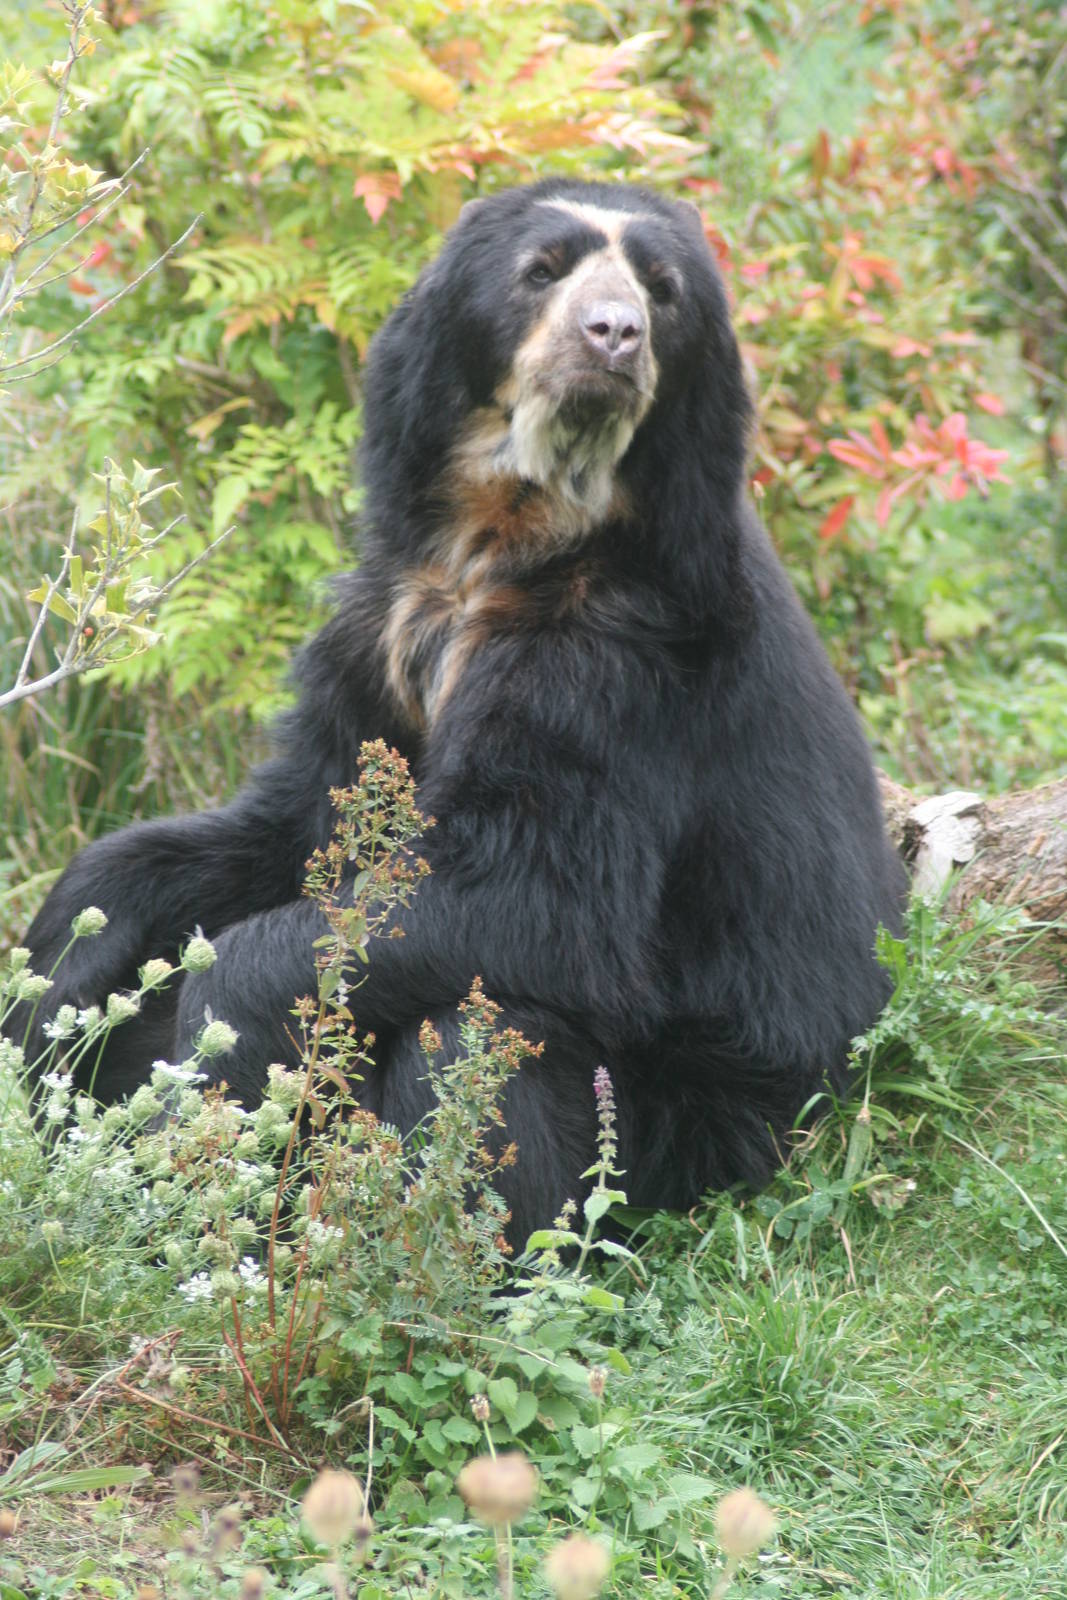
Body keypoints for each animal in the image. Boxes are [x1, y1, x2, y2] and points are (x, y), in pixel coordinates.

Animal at [17, 179, 906, 1247]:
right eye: (542, 271)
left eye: (665, 293)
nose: (615, 336)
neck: (512, 527)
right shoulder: (382, 635)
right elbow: (299, 821)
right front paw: (54, 994)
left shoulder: (622, 667)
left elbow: (533, 888)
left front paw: (216, 1066)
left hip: (708, 1119)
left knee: (478, 1033)